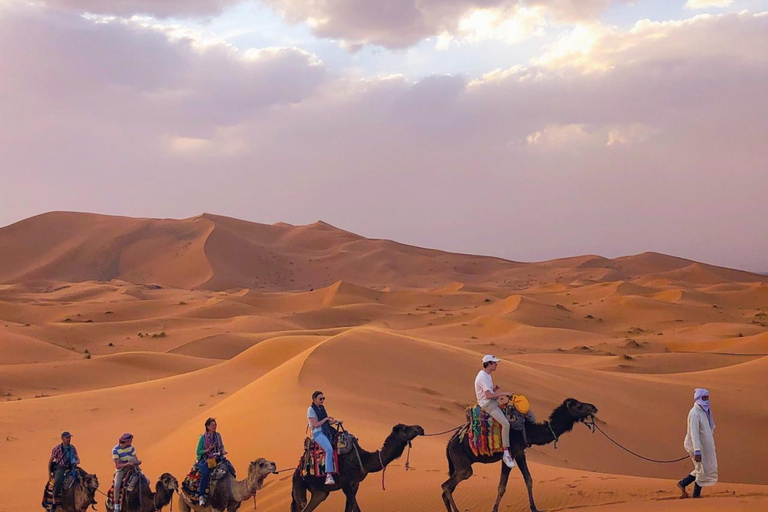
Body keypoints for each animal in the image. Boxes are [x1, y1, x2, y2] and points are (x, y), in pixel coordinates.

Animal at [292, 424, 428, 512]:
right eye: (405, 428)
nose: (420, 428)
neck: (362, 459)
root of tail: (297, 470)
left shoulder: (355, 484)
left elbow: (349, 509)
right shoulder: (345, 483)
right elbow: (356, 509)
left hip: (320, 492)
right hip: (299, 485)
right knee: (301, 504)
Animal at [440, 398, 596, 512]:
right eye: (578, 406)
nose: (594, 407)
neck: (527, 430)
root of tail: (449, 443)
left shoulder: (520, 453)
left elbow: (529, 479)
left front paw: (534, 508)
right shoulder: (509, 454)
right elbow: (502, 486)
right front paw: (494, 509)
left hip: (458, 464)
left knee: (446, 489)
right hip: (461, 460)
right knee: (447, 485)